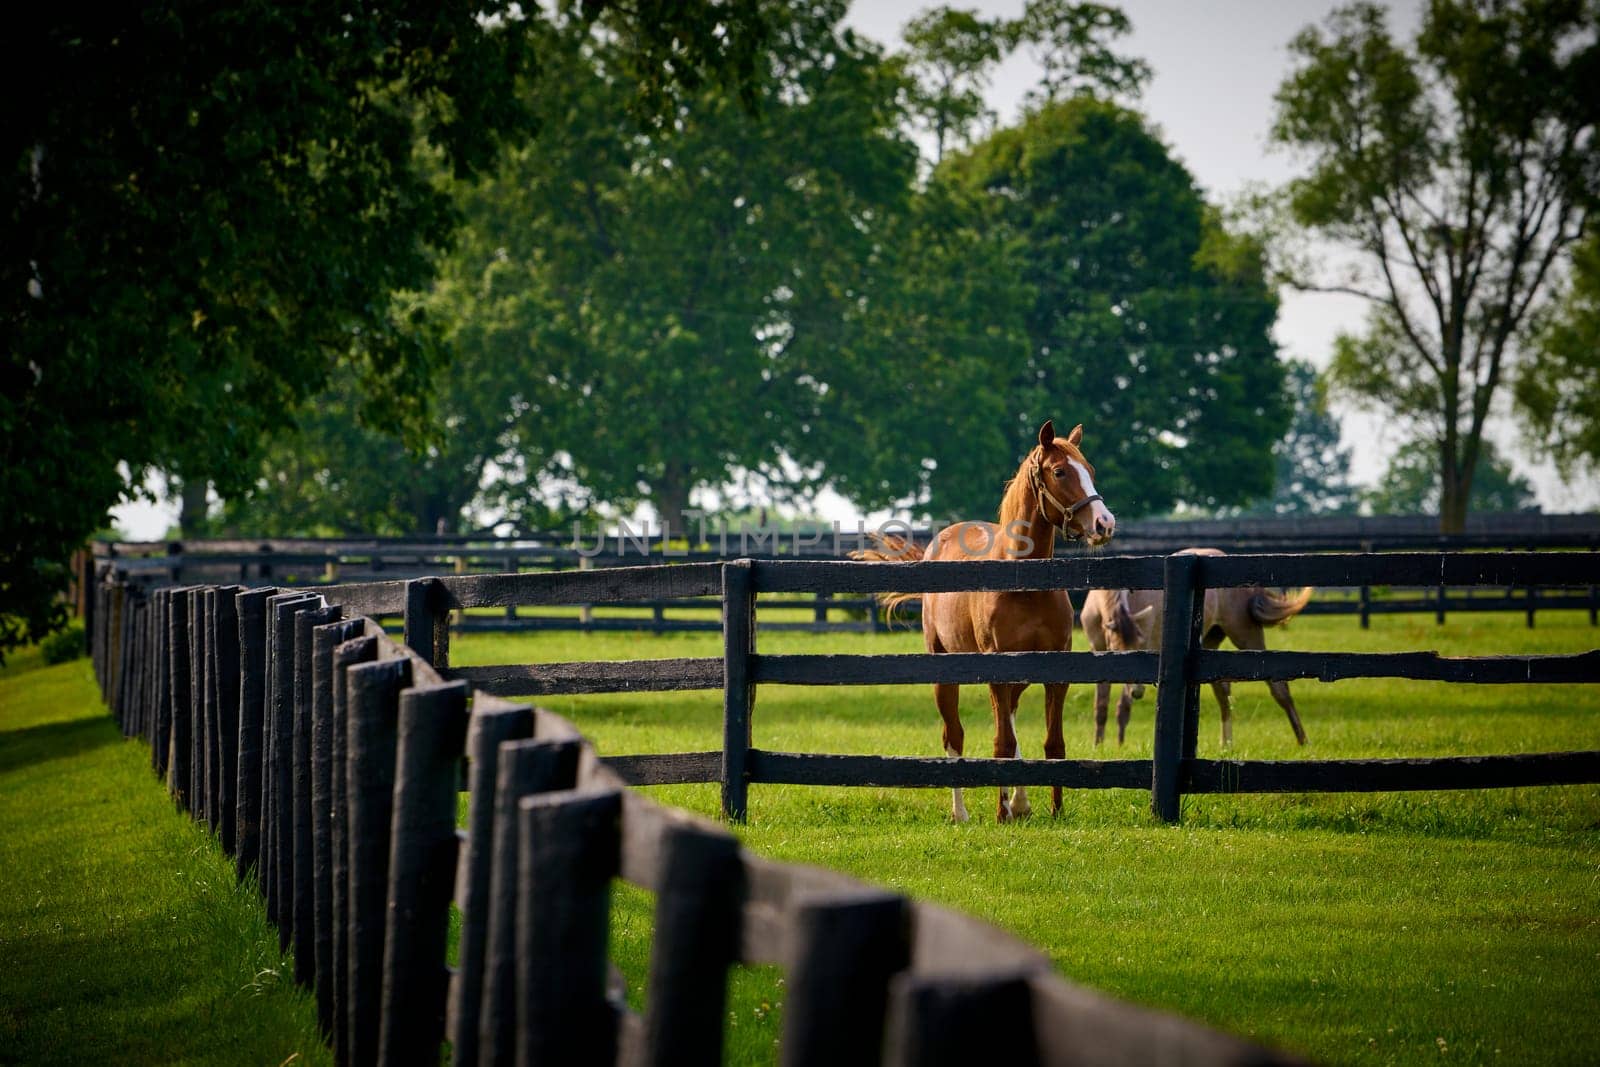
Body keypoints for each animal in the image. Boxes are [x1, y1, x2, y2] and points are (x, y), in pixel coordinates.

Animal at [864, 422, 1113, 825]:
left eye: (1089, 470)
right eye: (1060, 472)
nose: (1104, 524)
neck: (1024, 586)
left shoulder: (1055, 671)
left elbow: (1053, 743)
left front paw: (1055, 811)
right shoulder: (997, 671)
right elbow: (1001, 743)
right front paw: (1001, 813)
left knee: (1008, 721)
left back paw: (1021, 803)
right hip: (945, 672)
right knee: (954, 735)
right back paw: (962, 812)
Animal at [1075, 547, 1312, 748]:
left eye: (1140, 646)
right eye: (1118, 648)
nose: (1138, 692)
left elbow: (1122, 706)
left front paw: (1120, 745)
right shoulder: (1099, 652)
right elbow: (1101, 705)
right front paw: (1098, 746)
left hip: (1247, 637)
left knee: (1279, 688)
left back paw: (1303, 741)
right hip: (1210, 645)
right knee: (1223, 692)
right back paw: (1226, 745)